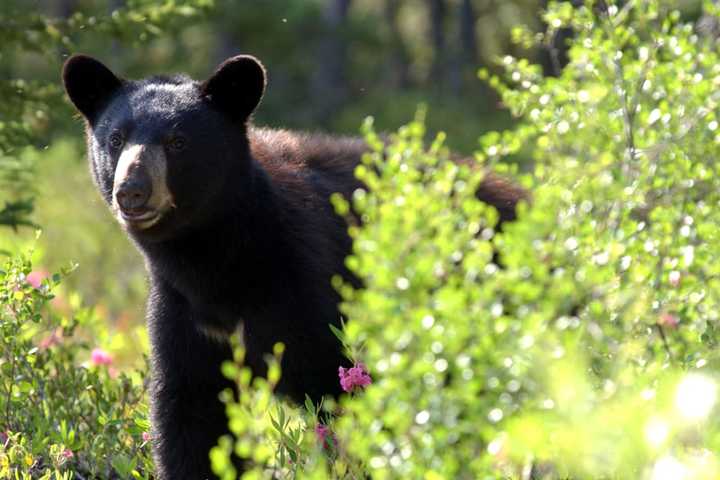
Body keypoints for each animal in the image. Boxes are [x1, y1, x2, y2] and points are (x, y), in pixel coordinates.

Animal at [62, 54, 524, 478]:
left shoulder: (307, 287)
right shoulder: (185, 314)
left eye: (177, 141)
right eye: (116, 138)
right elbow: (193, 417)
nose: (132, 191)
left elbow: (344, 394)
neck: (218, 259)